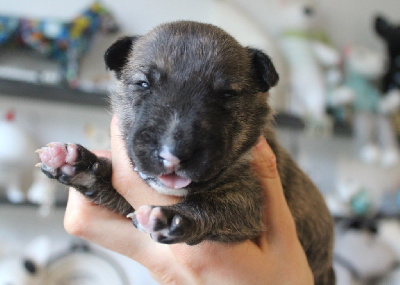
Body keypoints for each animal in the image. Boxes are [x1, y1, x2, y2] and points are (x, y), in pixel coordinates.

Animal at [36, 21, 334, 282]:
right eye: (143, 84)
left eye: (227, 94)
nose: (172, 153)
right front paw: (77, 164)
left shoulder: (249, 200)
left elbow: (217, 205)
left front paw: (172, 218)